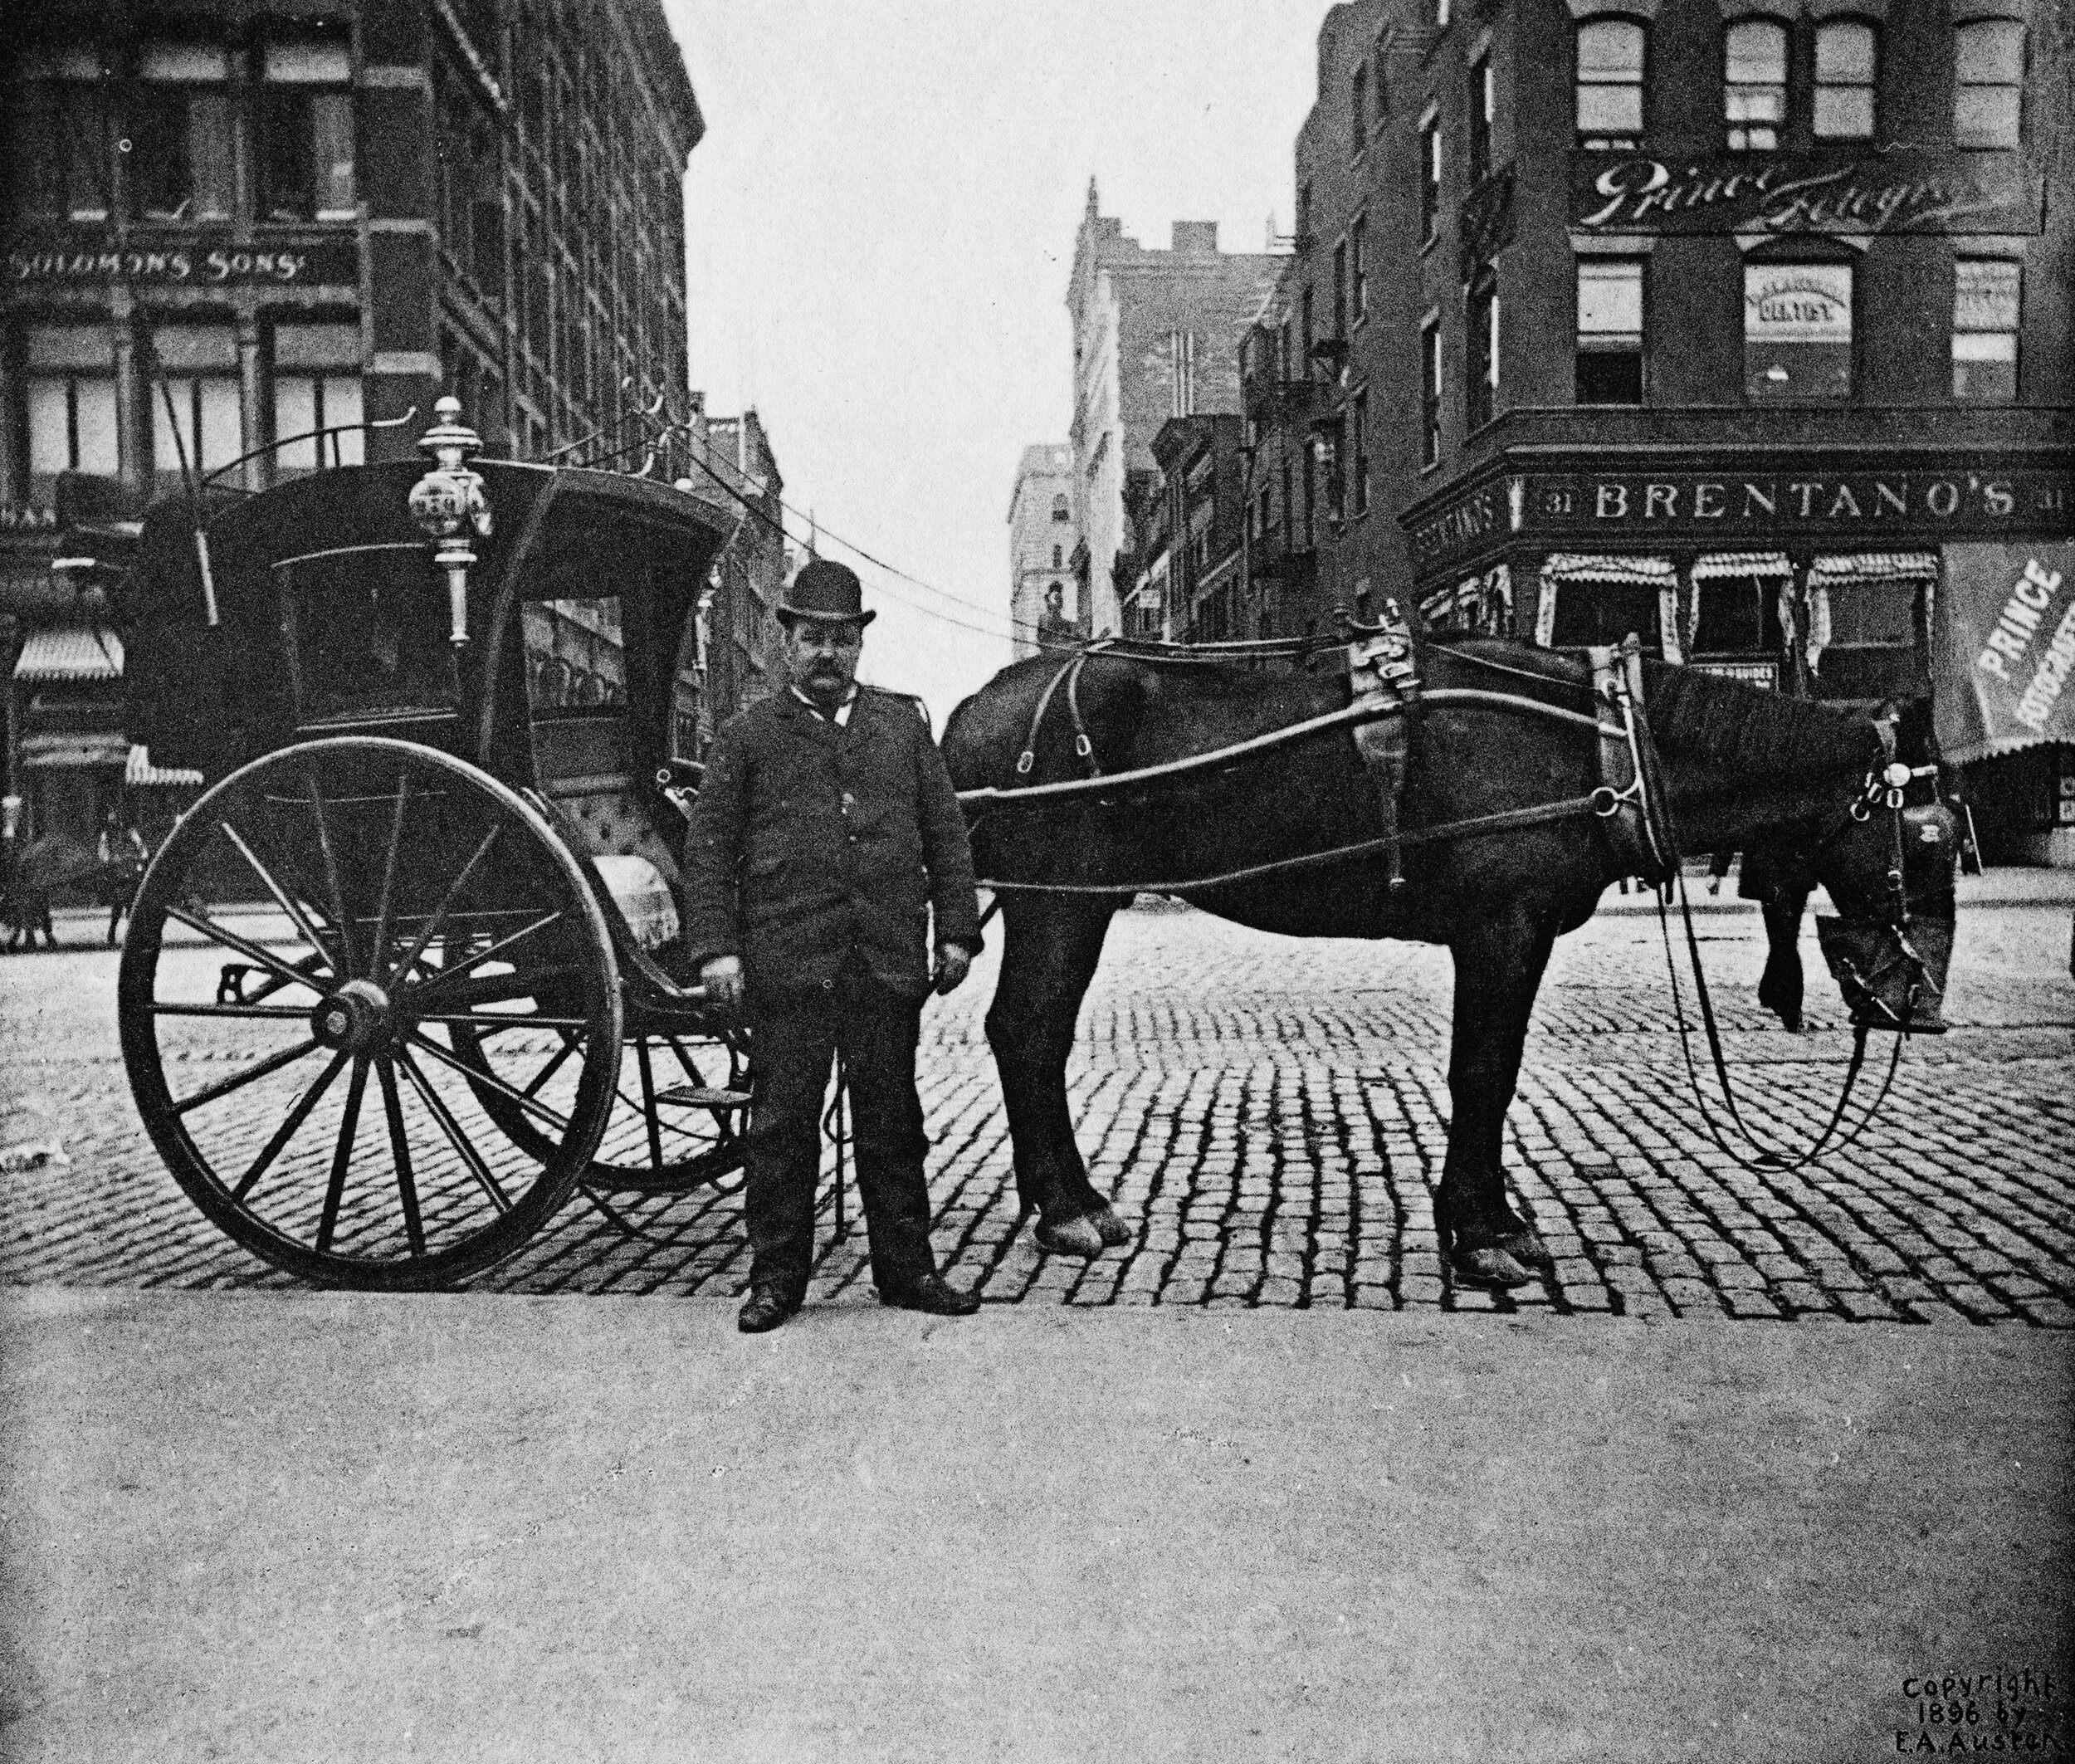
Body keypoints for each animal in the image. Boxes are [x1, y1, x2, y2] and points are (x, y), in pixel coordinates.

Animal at [946, 631, 1959, 1278]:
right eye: (1930, 837)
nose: (1921, 1005)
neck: (1598, 737)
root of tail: (974, 707)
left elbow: (1487, 1072)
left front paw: (1481, 1214)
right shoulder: (1501, 928)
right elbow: (1485, 1069)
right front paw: (1484, 1230)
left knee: (1023, 1033)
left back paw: (1064, 1202)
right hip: (1060, 903)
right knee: (1029, 1032)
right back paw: (1068, 1209)